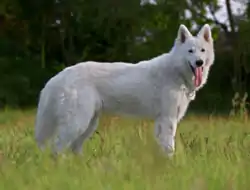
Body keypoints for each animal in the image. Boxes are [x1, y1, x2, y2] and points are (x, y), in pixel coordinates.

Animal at [34, 24, 215, 156]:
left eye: (202, 51)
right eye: (190, 51)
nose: (199, 62)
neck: (176, 73)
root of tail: (58, 76)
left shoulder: (161, 122)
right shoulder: (168, 120)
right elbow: (169, 147)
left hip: (89, 124)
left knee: (73, 148)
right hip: (78, 122)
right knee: (57, 147)